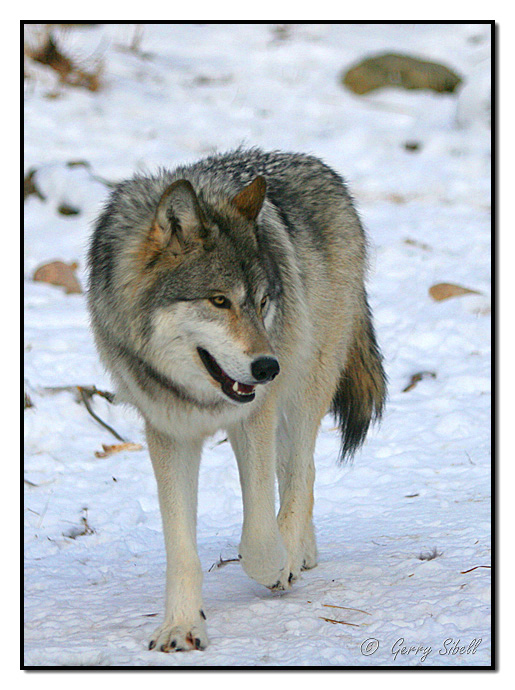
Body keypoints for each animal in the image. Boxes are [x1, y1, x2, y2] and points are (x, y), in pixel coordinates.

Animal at [87, 149, 388, 652]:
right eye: (219, 301)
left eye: (263, 302)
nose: (267, 367)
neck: (202, 394)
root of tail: (319, 165)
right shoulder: (170, 432)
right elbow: (181, 550)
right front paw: (181, 627)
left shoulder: (255, 415)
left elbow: (260, 537)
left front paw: (278, 564)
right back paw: (304, 550)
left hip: (306, 380)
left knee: (301, 471)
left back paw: (295, 552)